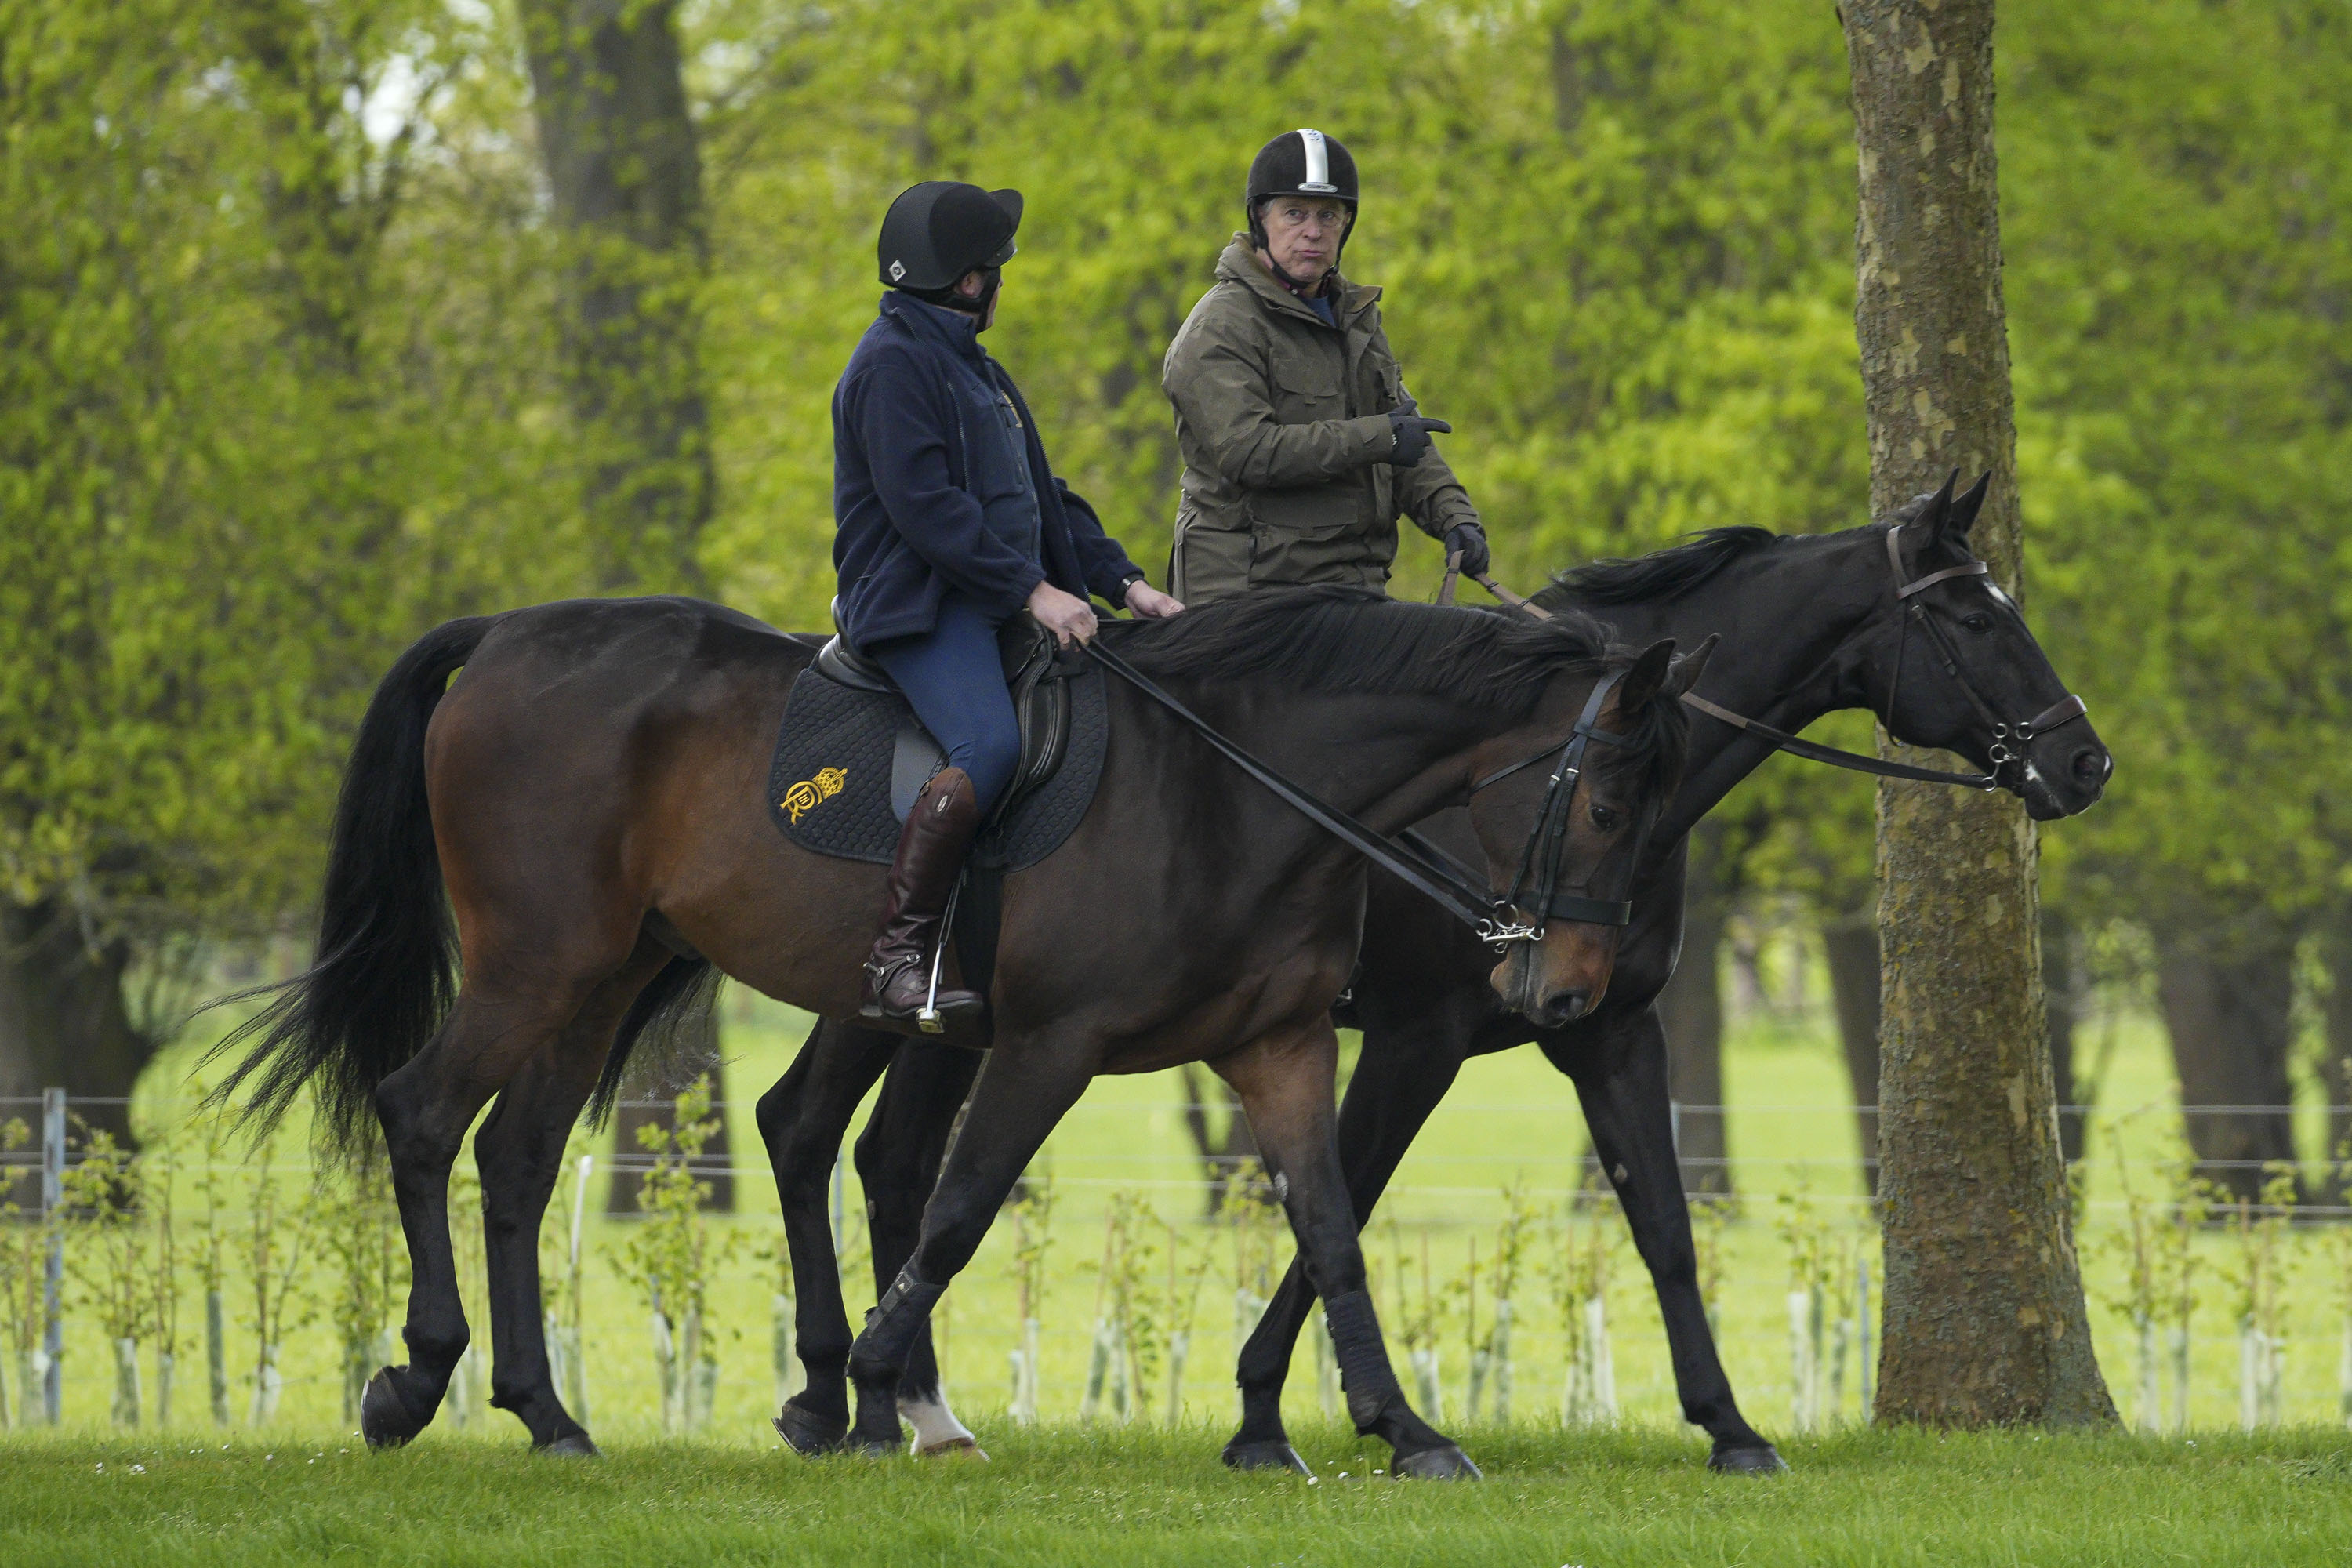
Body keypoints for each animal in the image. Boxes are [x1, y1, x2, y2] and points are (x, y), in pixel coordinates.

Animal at [212, 585, 1703, 1476]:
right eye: (1608, 807)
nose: (1570, 995)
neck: (1229, 785)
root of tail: (509, 634)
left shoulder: (1278, 1048)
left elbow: (1331, 1232)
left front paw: (1401, 1428)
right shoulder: (1047, 1046)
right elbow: (963, 1205)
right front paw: (876, 1383)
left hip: (600, 978)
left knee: (517, 1162)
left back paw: (545, 1412)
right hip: (536, 965)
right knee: (422, 1115)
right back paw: (417, 1382)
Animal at [776, 474, 2117, 1476]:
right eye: (1981, 620)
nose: (2086, 763)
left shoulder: (1607, 1030)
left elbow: (1663, 1224)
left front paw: (1730, 1425)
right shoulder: (1416, 1040)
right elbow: (1347, 1199)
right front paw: (1269, 1413)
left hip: (954, 1020)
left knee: (872, 1150)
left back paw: (903, 1406)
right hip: (909, 1003)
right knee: (812, 1130)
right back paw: (847, 1402)